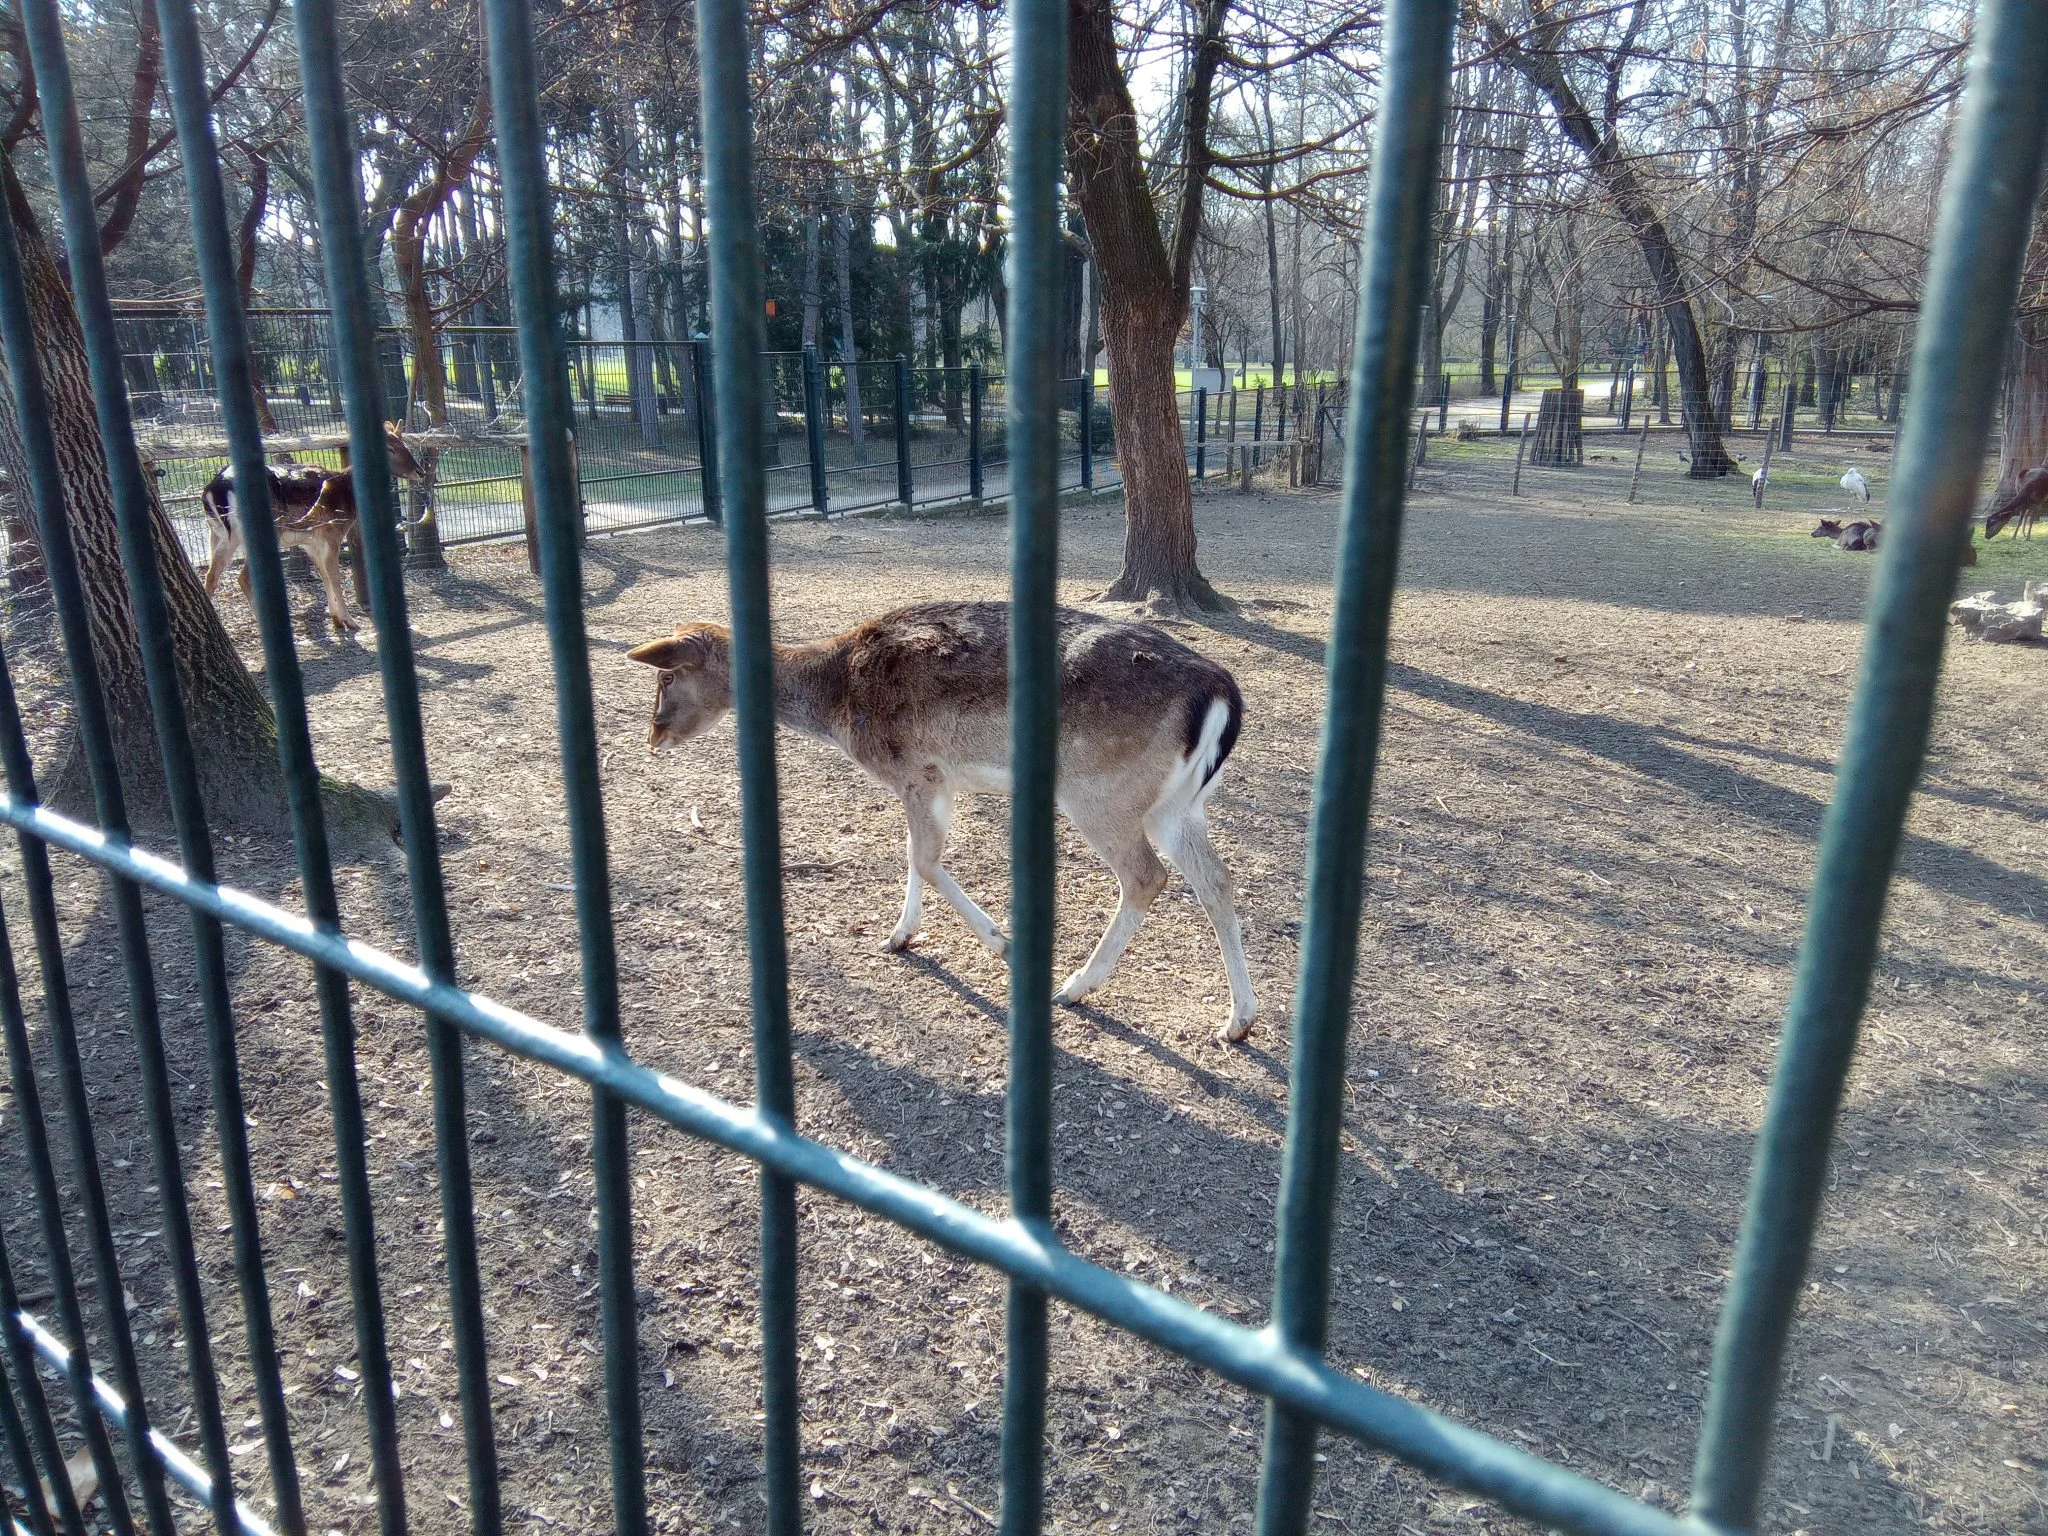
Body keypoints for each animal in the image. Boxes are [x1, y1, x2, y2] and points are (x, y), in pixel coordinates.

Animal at [200, 424, 427, 634]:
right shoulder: (332, 533)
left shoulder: (310, 541)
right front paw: (350, 621)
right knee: (243, 578)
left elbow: (324, 574)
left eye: (405, 444)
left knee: (211, 575)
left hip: (218, 536)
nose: (421, 471)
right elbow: (335, 575)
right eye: (390, 448)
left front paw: (336, 620)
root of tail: (214, 489)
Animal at [627, 600, 1259, 1043]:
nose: (654, 736)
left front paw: (1003, 944)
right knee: (1216, 879)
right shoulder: (936, 782)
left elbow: (926, 859)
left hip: (1100, 793)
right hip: (1177, 805)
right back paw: (1237, 1022)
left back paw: (1075, 987)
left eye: (665, 677)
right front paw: (898, 936)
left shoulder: (918, 769)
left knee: (1146, 876)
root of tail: (1223, 693)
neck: (838, 699)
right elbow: (913, 857)